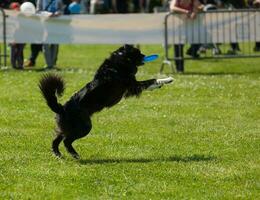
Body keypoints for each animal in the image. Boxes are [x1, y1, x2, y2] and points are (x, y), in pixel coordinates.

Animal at [38, 44, 173, 159]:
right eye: (138, 53)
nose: (144, 55)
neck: (120, 60)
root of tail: (61, 108)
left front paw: (162, 83)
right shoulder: (132, 85)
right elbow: (151, 80)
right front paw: (167, 79)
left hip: (66, 128)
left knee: (56, 139)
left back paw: (58, 154)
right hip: (84, 127)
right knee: (66, 141)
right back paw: (74, 155)